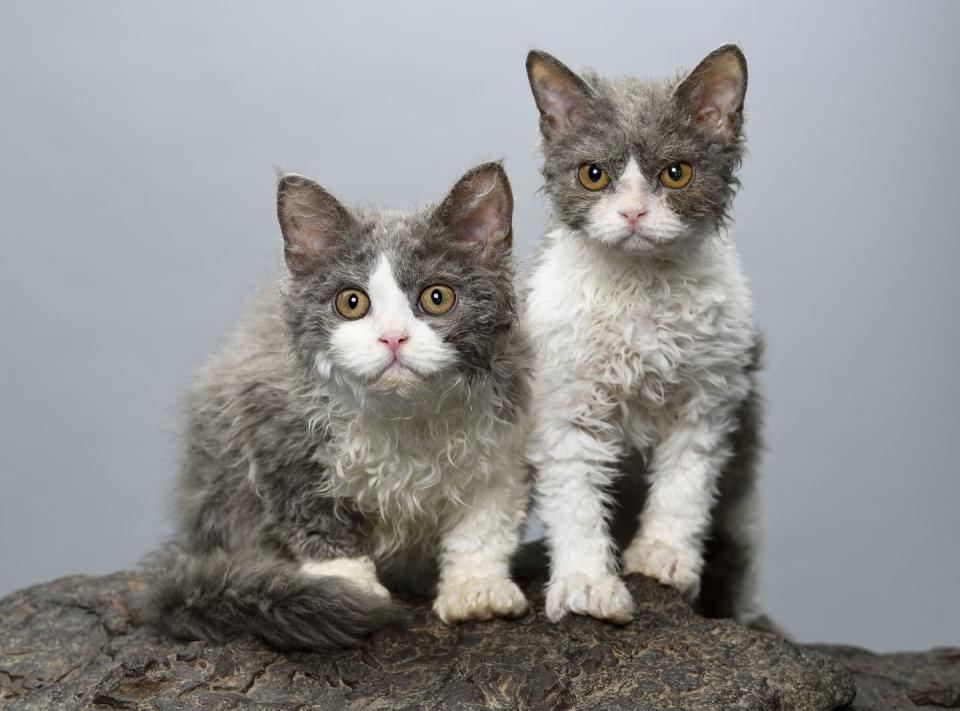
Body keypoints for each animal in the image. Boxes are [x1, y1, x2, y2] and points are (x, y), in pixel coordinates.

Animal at [133, 161, 532, 652]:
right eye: (351, 302)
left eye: (437, 297)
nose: (393, 338)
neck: (403, 414)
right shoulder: (274, 425)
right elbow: (317, 520)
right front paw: (347, 588)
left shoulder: (505, 439)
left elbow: (484, 523)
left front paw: (477, 588)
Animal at [524, 46, 764, 624]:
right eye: (593, 175)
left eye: (676, 174)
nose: (633, 212)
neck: (642, 292)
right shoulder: (565, 405)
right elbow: (575, 499)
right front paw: (587, 584)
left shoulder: (711, 398)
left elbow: (684, 486)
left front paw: (662, 556)